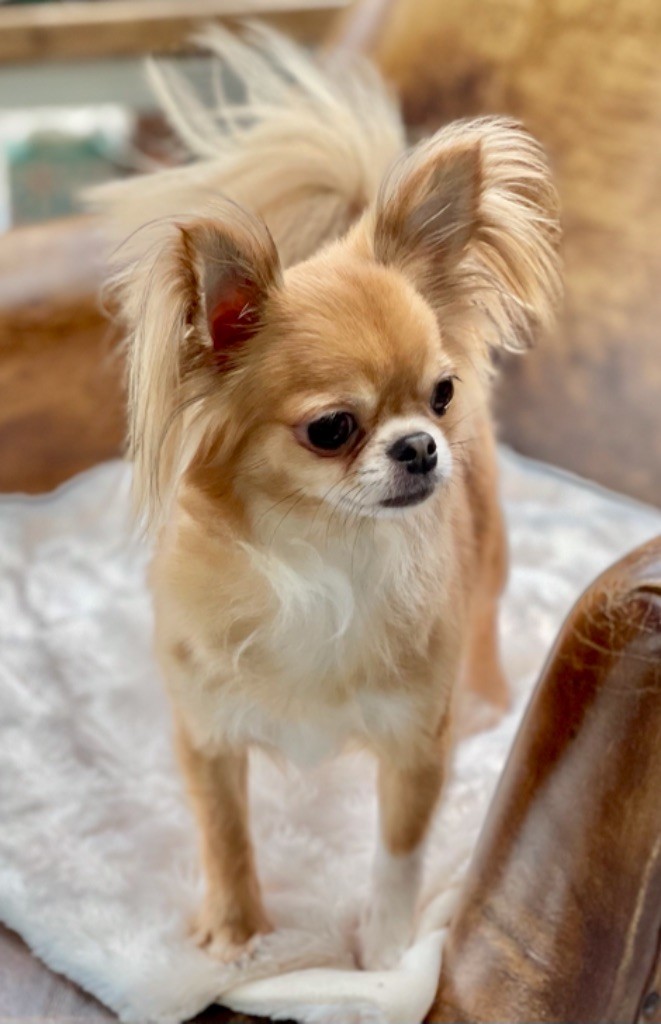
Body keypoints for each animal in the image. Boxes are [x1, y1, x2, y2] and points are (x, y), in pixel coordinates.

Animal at [95, 25, 561, 970]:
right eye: (332, 428)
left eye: (441, 394)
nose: (420, 446)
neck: (326, 550)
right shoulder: (207, 732)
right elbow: (225, 835)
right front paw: (237, 932)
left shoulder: (415, 743)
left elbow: (397, 851)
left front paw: (382, 953)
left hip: (491, 558)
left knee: (487, 621)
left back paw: (492, 700)